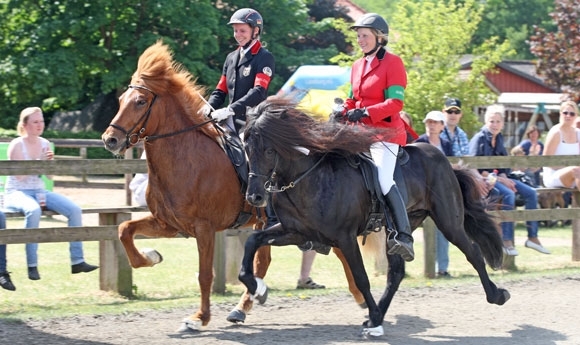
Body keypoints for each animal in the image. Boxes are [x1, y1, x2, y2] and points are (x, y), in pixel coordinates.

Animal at [101, 40, 270, 330]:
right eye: (121, 100)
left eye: (140, 101)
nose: (110, 140)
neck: (186, 160)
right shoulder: (168, 224)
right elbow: (124, 230)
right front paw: (151, 256)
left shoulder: (205, 228)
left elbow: (205, 275)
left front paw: (199, 318)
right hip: (264, 222)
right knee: (263, 260)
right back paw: (245, 304)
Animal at [238, 97, 510, 336]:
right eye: (246, 148)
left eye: (269, 150)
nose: (254, 197)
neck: (308, 177)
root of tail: (443, 159)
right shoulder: (295, 232)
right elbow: (252, 243)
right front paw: (257, 288)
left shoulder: (345, 238)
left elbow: (361, 278)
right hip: (402, 229)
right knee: (396, 272)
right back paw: (376, 317)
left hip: (448, 222)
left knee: (473, 253)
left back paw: (496, 295)